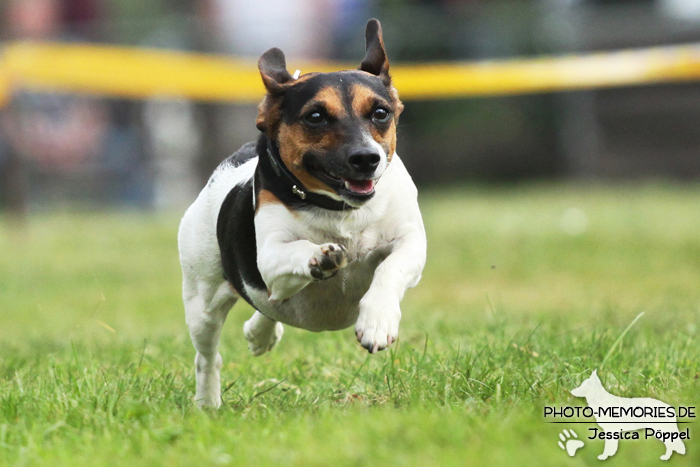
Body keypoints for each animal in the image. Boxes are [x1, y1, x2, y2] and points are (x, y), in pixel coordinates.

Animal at [176, 19, 426, 406]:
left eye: (381, 113)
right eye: (316, 116)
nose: (367, 158)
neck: (340, 209)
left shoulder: (410, 242)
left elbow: (391, 266)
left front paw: (378, 321)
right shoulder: (269, 260)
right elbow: (296, 252)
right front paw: (320, 257)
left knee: (267, 306)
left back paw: (260, 334)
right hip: (201, 298)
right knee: (208, 356)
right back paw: (208, 403)